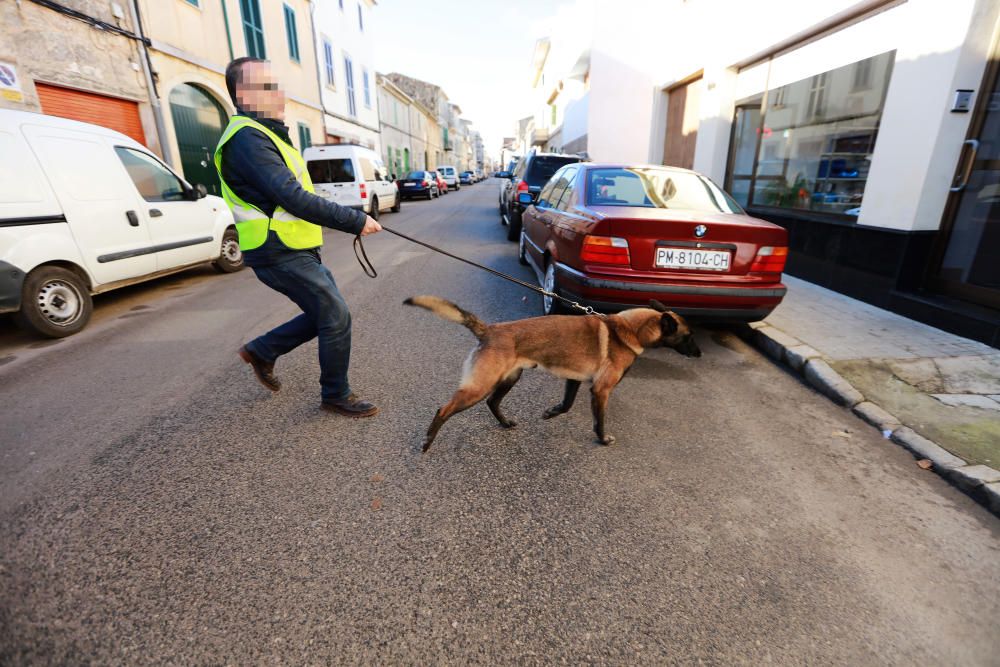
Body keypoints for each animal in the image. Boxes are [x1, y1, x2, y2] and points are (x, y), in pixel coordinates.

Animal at [402, 298, 700, 452]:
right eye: (688, 336)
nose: (699, 354)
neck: (628, 329)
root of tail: (489, 330)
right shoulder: (601, 390)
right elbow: (599, 421)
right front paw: (602, 440)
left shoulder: (575, 380)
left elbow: (566, 405)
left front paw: (550, 413)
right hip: (480, 386)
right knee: (444, 409)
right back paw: (427, 441)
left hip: (510, 378)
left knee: (492, 402)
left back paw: (505, 423)